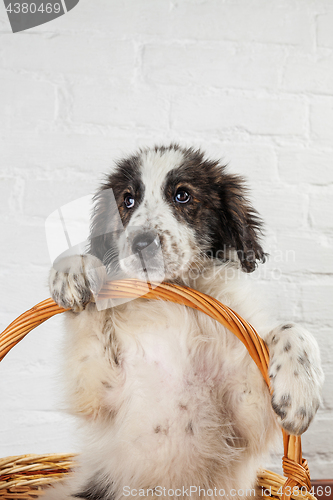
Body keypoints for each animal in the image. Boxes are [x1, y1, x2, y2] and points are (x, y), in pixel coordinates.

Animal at [44, 146, 322, 500]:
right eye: (128, 200)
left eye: (183, 195)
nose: (142, 243)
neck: (179, 302)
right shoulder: (100, 387)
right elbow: (88, 314)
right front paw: (73, 271)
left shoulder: (244, 415)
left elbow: (291, 330)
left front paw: (298, 396)